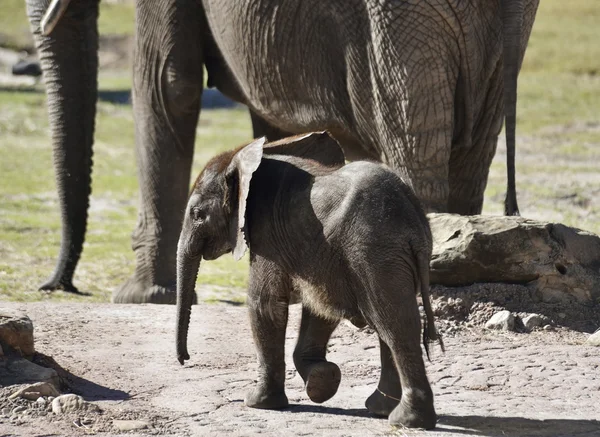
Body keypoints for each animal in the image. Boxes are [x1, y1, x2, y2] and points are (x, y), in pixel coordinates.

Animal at [176, 131, 442, 428]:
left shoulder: (267, 234)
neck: (247, 159)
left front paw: (258, 403)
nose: (185, 359)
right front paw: (322, 382)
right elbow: (319, 305)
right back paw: (381, 410)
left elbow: (264, 304)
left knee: (394, 323)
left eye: (197, 215)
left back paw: (405, 420)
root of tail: (413, 219)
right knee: (391, 322)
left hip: (375, 251)